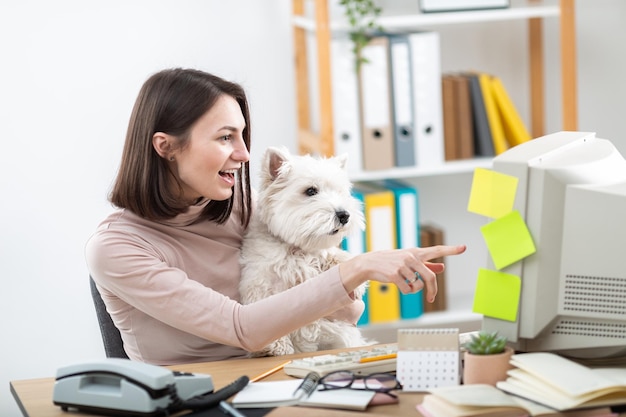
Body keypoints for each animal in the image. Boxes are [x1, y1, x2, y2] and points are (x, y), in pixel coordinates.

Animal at [239, 145, 370, 354]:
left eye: (339, 192)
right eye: (310, 191)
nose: (344, 215)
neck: (297, 248)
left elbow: (336, 256)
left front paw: (356, 284)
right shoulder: (259, 284)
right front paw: (278, 346)